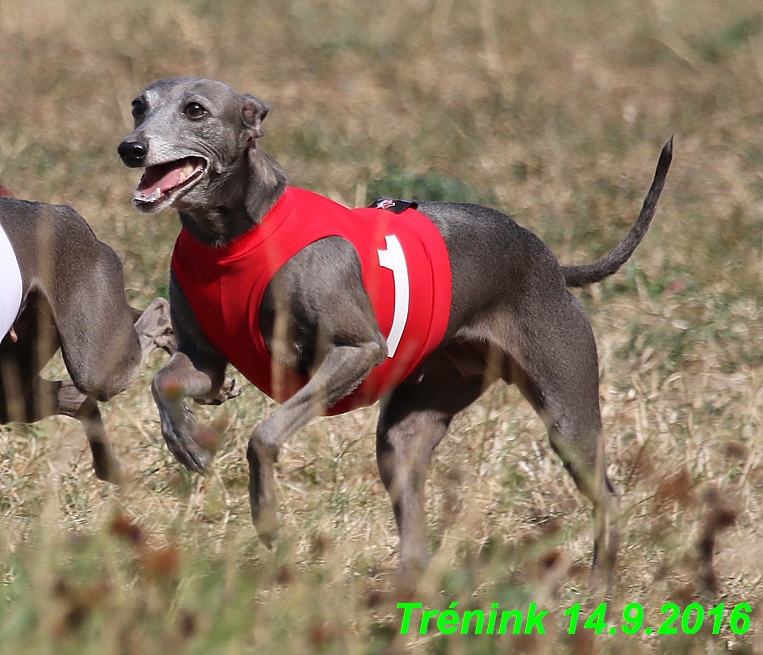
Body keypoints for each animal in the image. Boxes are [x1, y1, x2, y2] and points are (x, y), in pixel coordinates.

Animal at [116, 77, 672, 584]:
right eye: (138, 105)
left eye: (195, 109)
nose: (131, 148)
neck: (231, 237)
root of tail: (553, 264)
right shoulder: (204, 359)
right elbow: (164, 381)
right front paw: (186, 438)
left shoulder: (354, 353)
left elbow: (264, 434)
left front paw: (268, 520)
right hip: (410, 428)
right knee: (409, 495)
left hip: (566, 413)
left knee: (607, 494)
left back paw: (600, 586)